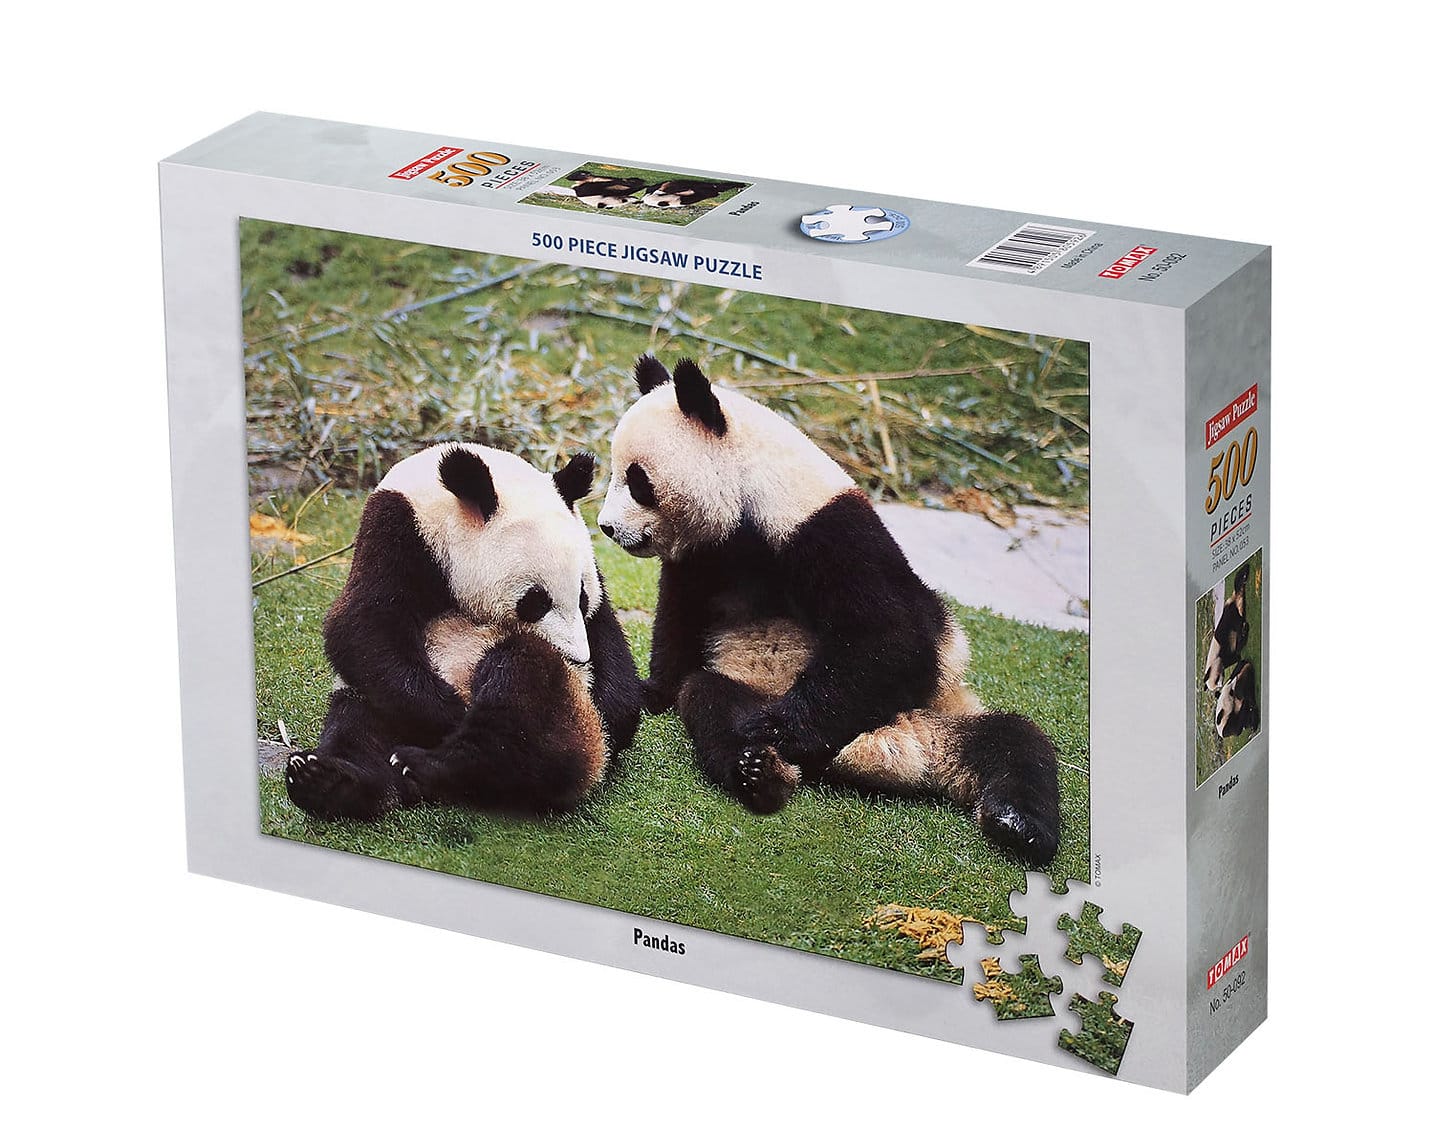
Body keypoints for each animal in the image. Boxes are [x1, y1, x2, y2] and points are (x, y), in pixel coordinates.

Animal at [284, 443, 642, 821]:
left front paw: (612, 715)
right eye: (536, 601)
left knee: (518, 692)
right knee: (356, 723)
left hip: (565, 704)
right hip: (368, 702)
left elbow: (607, 635)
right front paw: (452, 712)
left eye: (582, 596)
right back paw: (332, 781)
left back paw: (430, 764)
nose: (577, 658)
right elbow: (361, 626)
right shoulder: (394, 534)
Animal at [596, 354, 1062, 866]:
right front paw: (654, 692)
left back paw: (1018, 825)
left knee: (1016, 744)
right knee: (709, 698)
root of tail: (887, 752)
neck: (748, 488)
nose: (607, 527)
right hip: (758, 686)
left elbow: (894, 636)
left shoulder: (823, 530)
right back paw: (760, 772)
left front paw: (776, 725)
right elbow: (679, 621)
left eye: (637, 481)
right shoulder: (705, 556)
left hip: (941, 711)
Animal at [1203, 562, 1250, 691]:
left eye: (1216, 679)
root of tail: (1231, 600)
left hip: (1230, 616)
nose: (1220, 686)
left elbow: (1233, 654)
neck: (1213, 661)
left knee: (1239, 621)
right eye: (1215, 687)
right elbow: (1233, 658)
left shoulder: (1221, 651)